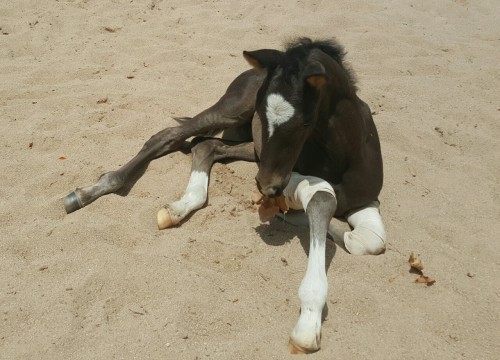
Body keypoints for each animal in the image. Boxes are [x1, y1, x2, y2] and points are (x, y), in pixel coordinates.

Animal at [64, 38, 386, 352]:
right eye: (261, 112)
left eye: (306, 123)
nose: (266, 187)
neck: (342, 154)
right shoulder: (278, 172)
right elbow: (323, 197)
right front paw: (308, 323)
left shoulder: (365, 201)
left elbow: (369, 241)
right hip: (233, 114)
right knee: (169, 135)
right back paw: (89, 192)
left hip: (248, 144)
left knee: (206, 145)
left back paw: (179, 207)